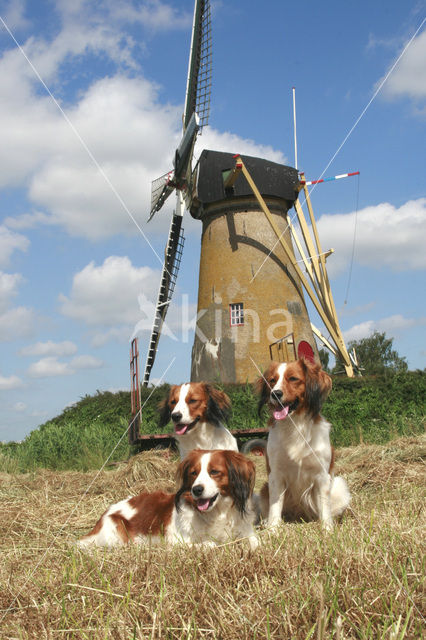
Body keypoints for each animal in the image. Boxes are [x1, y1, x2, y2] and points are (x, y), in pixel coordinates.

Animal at [77, 450, 258, 552]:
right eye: (193, 473)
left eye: (214, 472)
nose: (196, 490)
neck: (217, 513)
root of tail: (104, 514)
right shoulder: (177, 542)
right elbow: (210, 545)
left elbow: (256, 542)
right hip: (116, 530)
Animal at [256, 358, 350, 528]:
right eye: (272, 380)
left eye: (293, 378)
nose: (275, 394)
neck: (295, 425)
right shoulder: (276, 475)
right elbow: (275, 506)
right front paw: (273, 528)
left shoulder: (321, 475)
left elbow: (324, 507)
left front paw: (327, 529)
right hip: (264, 489)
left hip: (340, 486)